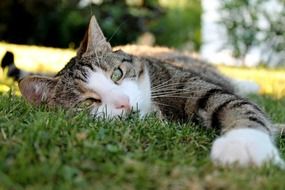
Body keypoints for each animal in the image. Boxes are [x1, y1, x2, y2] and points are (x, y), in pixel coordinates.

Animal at [18, 16, 284, 168]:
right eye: (88, 103)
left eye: (117, 74)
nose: (124, 102)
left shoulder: (191, 83)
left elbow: (233, 103)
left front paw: (246, 144)